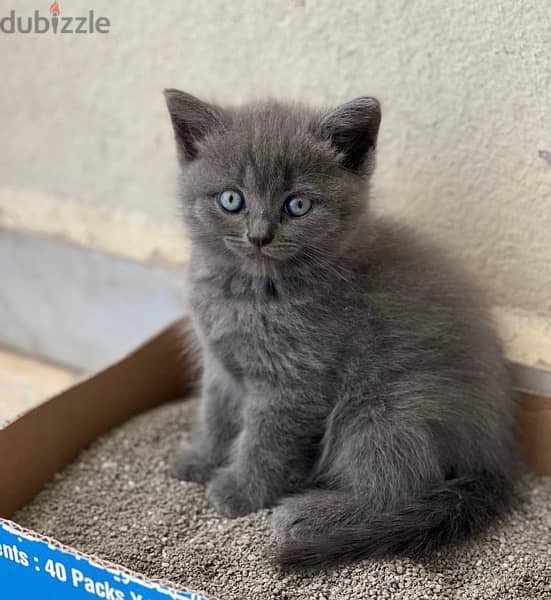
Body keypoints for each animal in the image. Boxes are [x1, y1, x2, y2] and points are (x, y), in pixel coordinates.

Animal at [166, 89, 520, 568]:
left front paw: (240, 490)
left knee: (400, 488)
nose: (259, 236)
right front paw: (202, 458)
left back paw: (309, 514)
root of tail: (496, 454)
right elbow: (216, 411)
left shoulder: (295, 383)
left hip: (385, 408)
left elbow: (266, 441)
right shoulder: (220, 363)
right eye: (231, 200)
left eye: (297, 205)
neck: (250, 293)